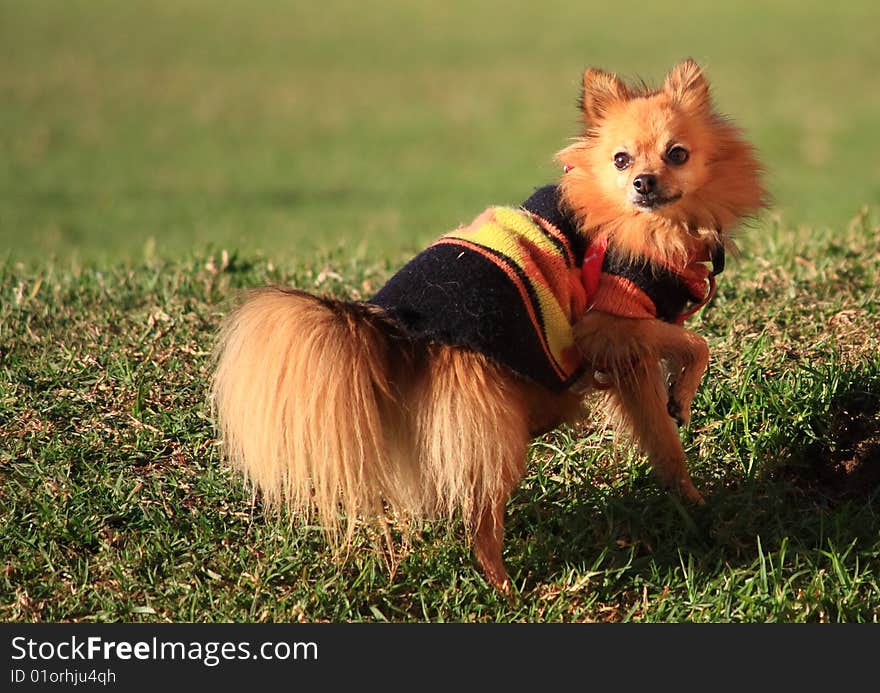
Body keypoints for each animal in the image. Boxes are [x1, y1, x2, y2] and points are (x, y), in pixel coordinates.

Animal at [211, 58, 764, 588]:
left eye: (677, 154)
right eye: (621, 160)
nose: (642, 183)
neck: (652, 225)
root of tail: (391, 331)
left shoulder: (628, 354)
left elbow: (664, 442)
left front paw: (692, 501)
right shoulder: (610, 319)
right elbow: (693, 344)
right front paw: (685, 396)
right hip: (492, 432)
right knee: (480, 524)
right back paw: (506, 588)